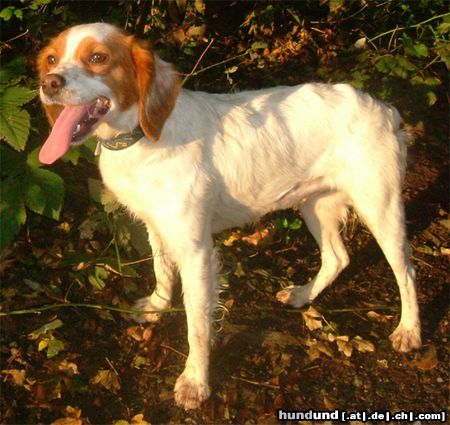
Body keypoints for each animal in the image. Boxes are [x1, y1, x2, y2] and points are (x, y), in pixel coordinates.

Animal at [38, 22, 422, 408]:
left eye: (98, 57)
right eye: (52, 59)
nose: (49, 83)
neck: (142, 138)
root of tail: (383, 107)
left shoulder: (196, 252)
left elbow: (197, 325)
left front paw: (195, 382)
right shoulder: (156, 225)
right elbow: (161, 270)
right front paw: (158, 305)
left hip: (380, 206)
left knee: (406, 271)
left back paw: (409, 330)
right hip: (315, 204)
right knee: (337, 257)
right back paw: (303, 294)